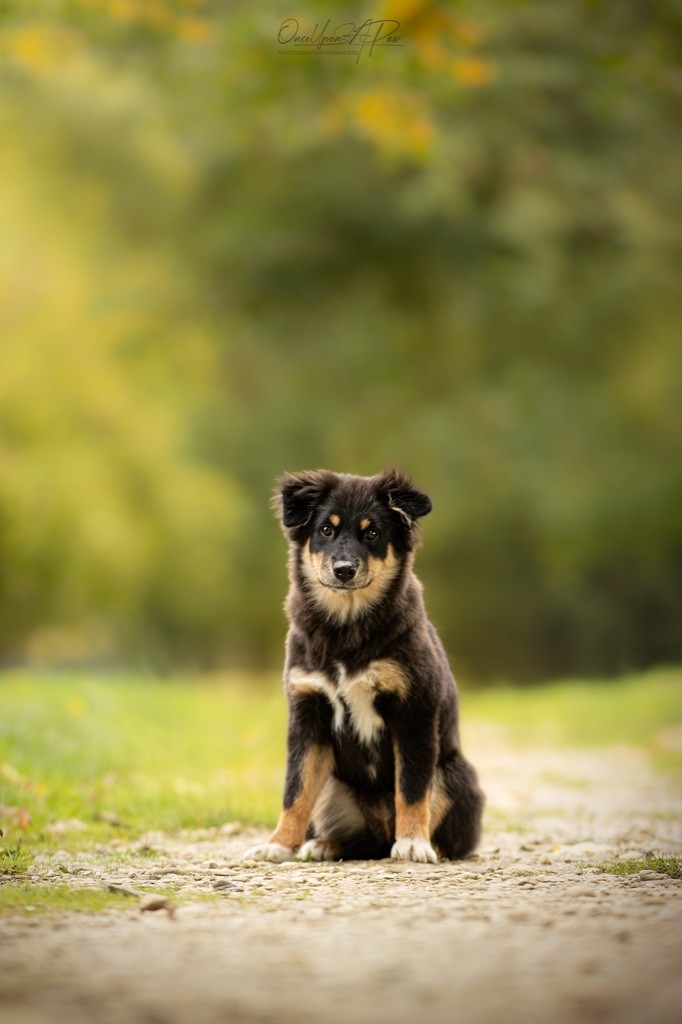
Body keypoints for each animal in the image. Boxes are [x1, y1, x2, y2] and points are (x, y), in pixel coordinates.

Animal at [241, 471, 481, 864]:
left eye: (372, 534)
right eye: (326, 529)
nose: (344, 570)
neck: (347, 627)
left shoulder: (414, 711)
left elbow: (412, 788)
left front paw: (412, 843)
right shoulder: (308, 710)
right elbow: (295, 789)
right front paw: (277, 845)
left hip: (454, 773)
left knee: (448, 831)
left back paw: (430, 847)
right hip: (334, 785)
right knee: (356, 840)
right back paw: (321, 845)